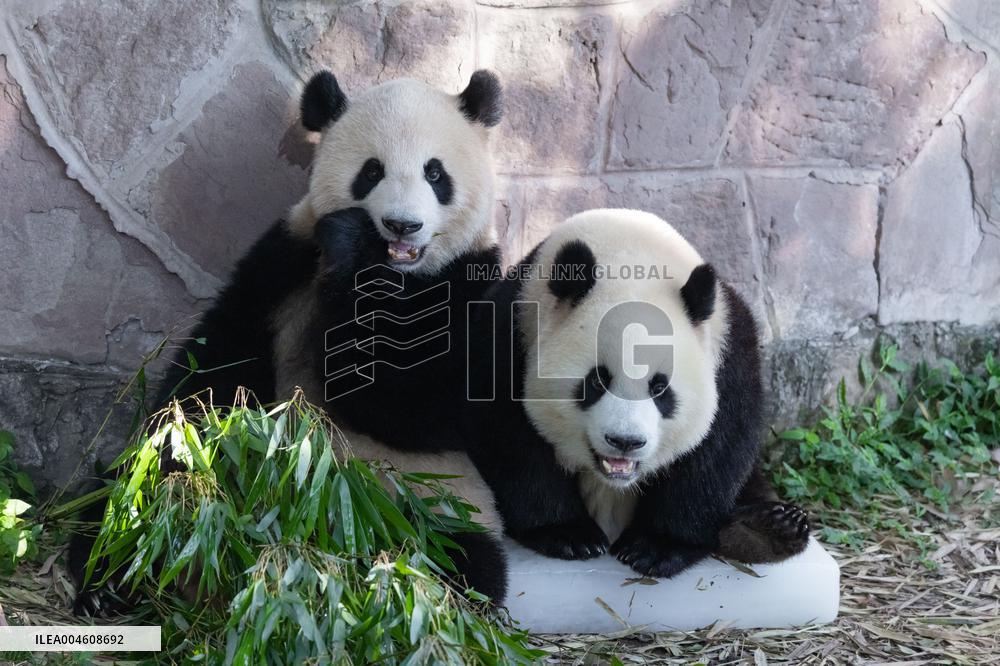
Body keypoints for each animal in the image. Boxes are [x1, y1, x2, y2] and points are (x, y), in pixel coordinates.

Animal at [467, 208, 810, 578]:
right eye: (597, 382)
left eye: (660, 388)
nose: (625, 442)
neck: (630, 251)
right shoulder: (512, 331)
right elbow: (510, 437)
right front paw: (568, 534)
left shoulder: (729, 351)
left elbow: (717, 448)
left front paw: (655, 547)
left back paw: (769, 529)